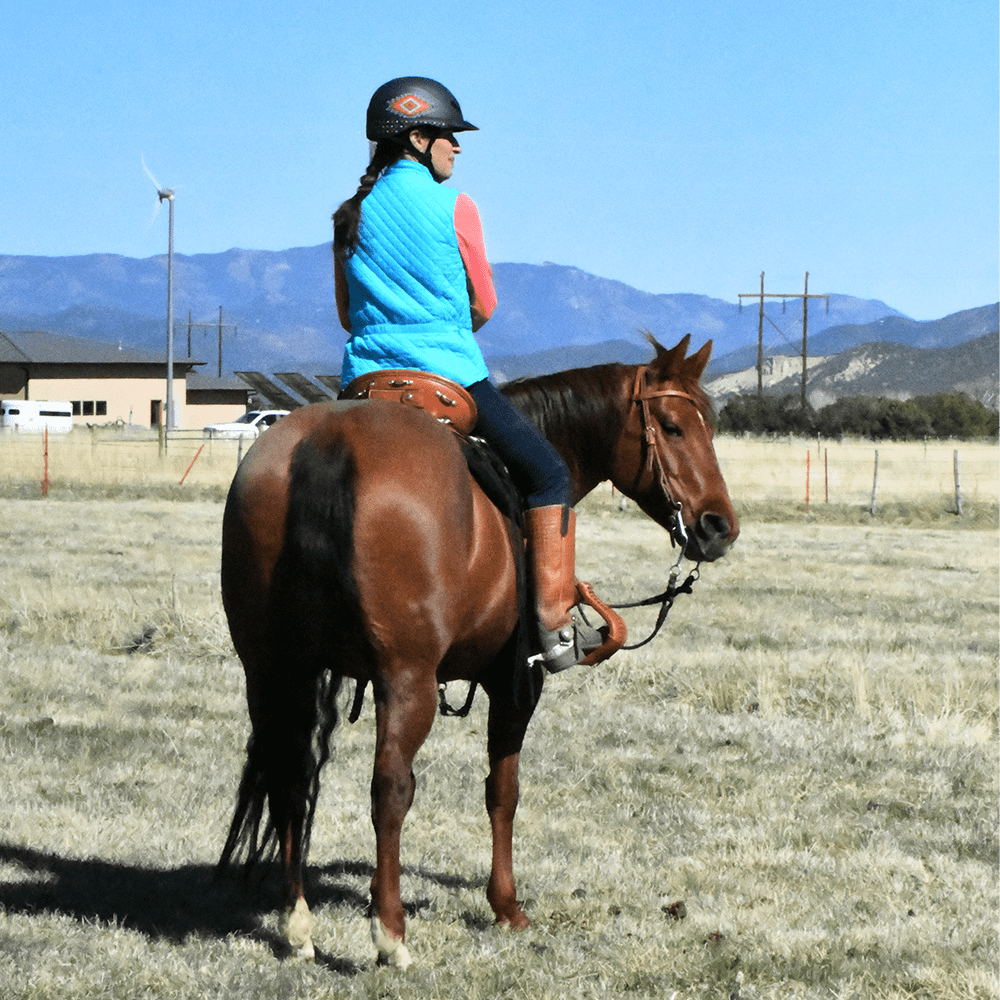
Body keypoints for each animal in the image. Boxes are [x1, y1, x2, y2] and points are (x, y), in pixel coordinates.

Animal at [217, 336, 736, 968]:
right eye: (673, 426)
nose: (719, 525)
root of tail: (330, 442)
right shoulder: (516, 684)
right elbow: (502, 790)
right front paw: (506, 906)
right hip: (405, 680)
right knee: (390, 787)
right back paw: (390, 934)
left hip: (272, 671)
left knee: (290, 778)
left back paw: (298, 927)